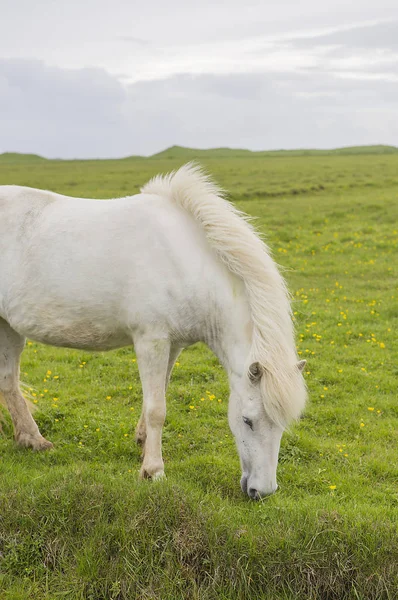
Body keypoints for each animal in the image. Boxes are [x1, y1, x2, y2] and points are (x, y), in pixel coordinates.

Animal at [0, 163, 308, 496]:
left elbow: (159, 393)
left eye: (283, 423)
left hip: (9, 328)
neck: (185, 261)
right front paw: (153, 470)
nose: (262, 492)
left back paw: (32, 440)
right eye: (247, 420)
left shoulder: (173, 345)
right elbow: (157, 408)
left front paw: (143, 441)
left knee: (8, 381)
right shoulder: (152, 341)